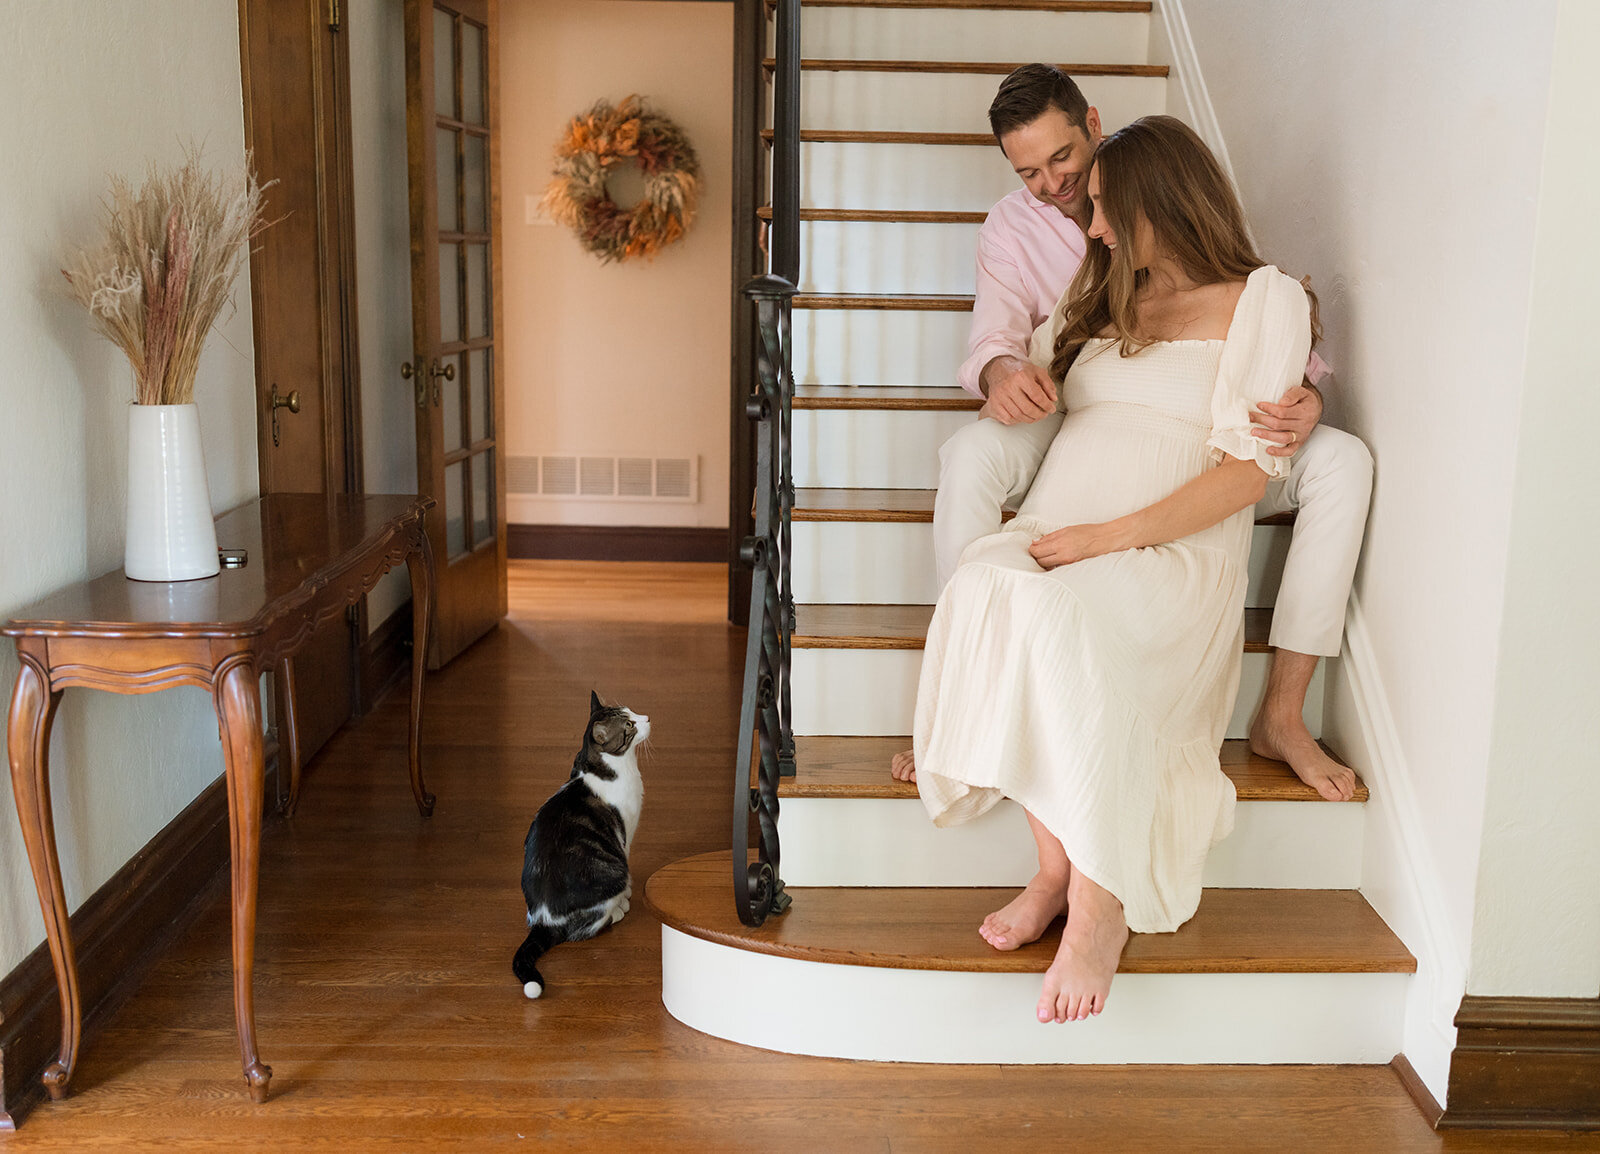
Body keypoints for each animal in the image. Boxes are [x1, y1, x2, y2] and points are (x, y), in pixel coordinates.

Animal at [508, 688, 640, 992]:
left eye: (632, 711)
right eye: (629, 725)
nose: (647, 717)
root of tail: (544, 920)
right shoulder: (624, 833)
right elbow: (626, 854)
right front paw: (626, 898)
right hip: (612, 874)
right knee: (581, 931)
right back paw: (616, 911)